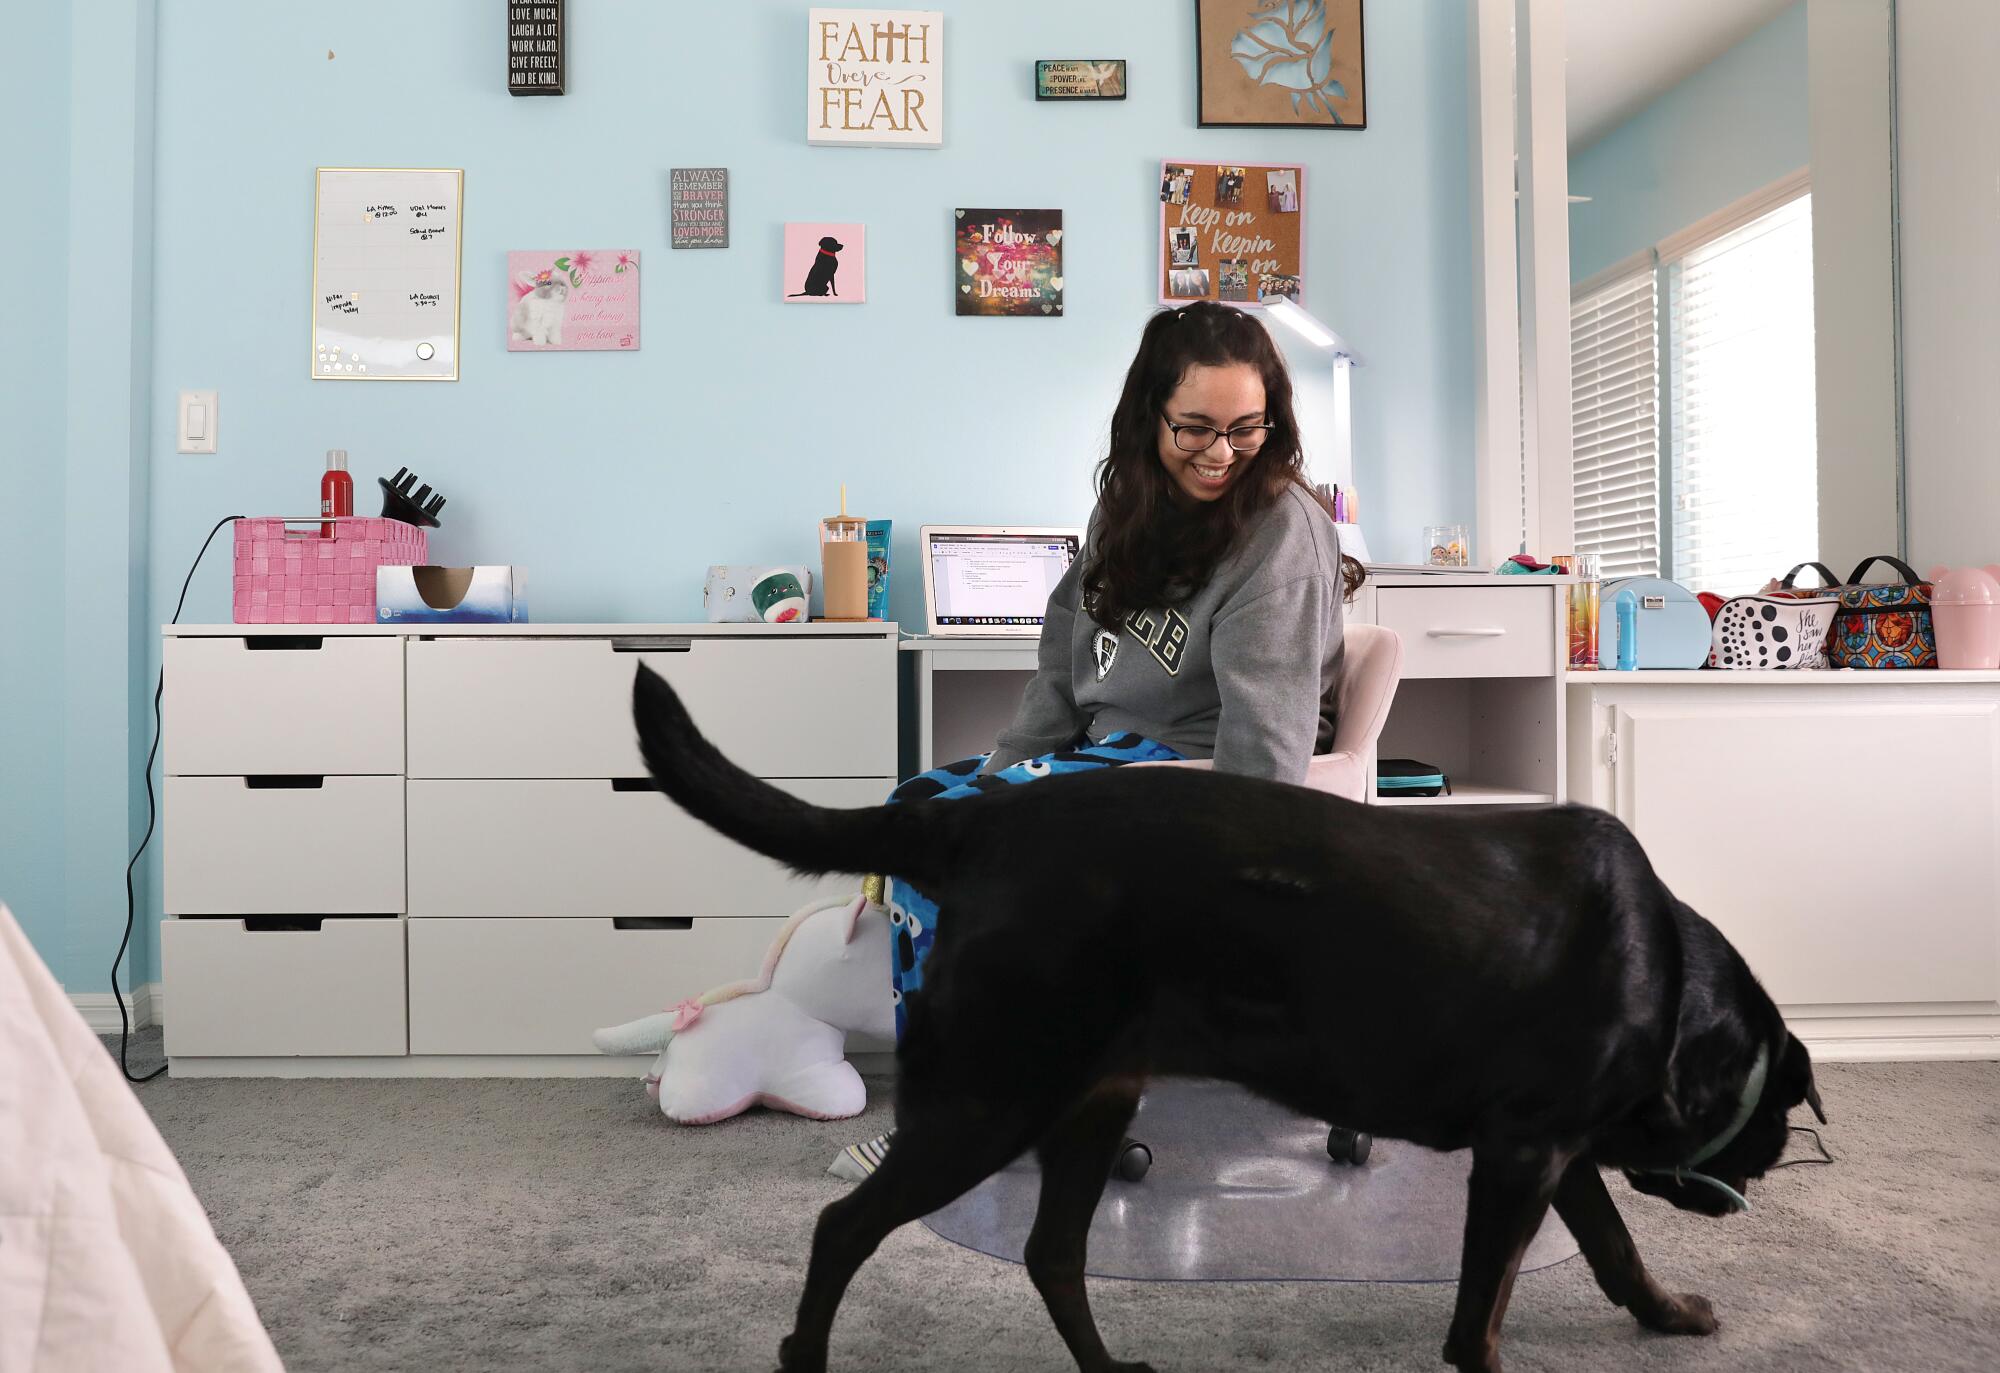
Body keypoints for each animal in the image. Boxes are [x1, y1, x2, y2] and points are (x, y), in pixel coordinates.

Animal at [632, 660, 1824, 1368]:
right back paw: (806, 1355)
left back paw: (1109, 1368)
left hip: (1090, 1099)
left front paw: (1669, 1314)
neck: (1667, 979)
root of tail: (975, 822)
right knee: (846, 1227)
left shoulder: (1546, 1148)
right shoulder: (1527, 1152)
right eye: (1775, 1115)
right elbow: (1481, 1313)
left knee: (1050, 1254)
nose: (1756, 1177)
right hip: (990, 1096)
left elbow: (1615, 1247)